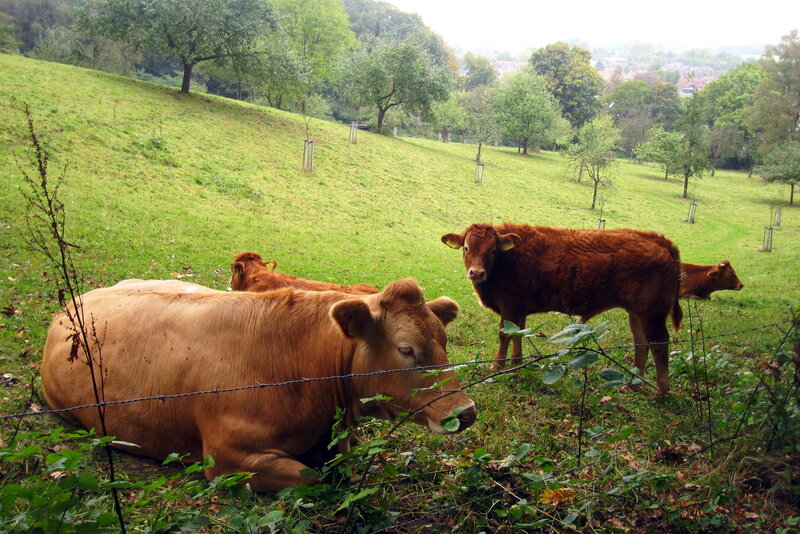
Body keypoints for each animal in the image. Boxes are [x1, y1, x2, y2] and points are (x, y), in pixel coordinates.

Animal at [40, 278, 476, 491]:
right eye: (406, 349)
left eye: (444, 340)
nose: (466, 412)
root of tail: (72, 305)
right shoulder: (226, 460)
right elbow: (309, 476)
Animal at [441, 223, 683, 396]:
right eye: (466, 247)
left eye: (492, 250)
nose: (476, 272)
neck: (507, 260)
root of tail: (658, 239)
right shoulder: (519, 309)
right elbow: (518, 333)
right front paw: (517, 361)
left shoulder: (509, 305)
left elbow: (504, 335)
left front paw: (496, 366)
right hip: (636, 314)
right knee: (641, 342)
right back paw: (633, 383)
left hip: (652, 314)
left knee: (659, 345)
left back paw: (660, 392)